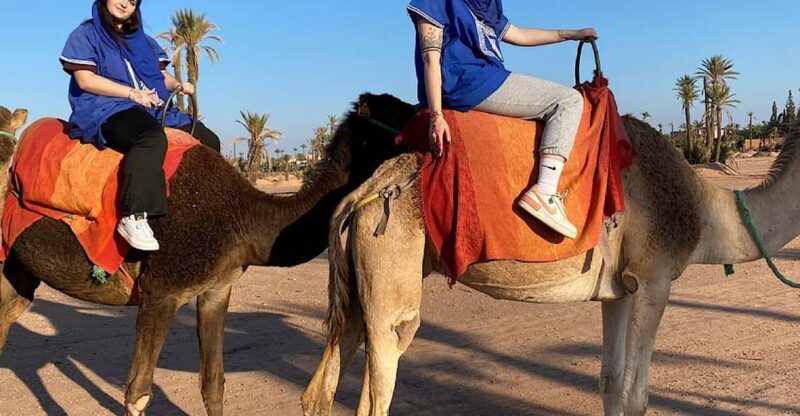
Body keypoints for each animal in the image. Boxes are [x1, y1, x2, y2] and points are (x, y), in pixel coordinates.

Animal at [0, 95, 417, 416]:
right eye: (398, 110)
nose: (428, 115)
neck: (244, 218)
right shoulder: (160, 294)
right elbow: (138, 392)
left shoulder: (216, 289)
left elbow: (213, 382)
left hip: (17, 268)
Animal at [301, 96, 799, 416]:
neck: (705, 207)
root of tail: (361, 195)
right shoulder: (655, 277)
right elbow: (637, 394)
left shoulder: (620, 290)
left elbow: (611, 383)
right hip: (391, 270)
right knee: (381, 376)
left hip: (356, 285)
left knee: (322, 385)